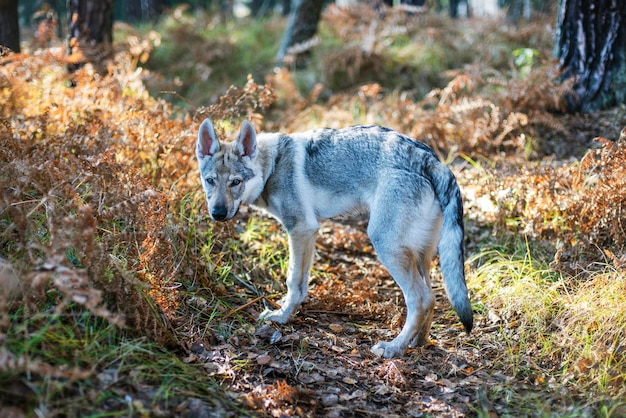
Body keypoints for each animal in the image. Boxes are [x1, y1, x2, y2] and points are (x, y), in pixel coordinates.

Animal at [195, 118, 468, 360]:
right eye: (210, 181)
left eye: (236, 182)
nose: (218, 213)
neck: (272, 166)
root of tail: (432, 160)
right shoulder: (309, 233)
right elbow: (301, 282)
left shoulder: (301, 229)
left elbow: (293, 280)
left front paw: (282, 316)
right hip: (422, 256)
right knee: (432, 298)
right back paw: (417, 342)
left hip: (386, 246)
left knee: (420, 299)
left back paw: (394, 348)